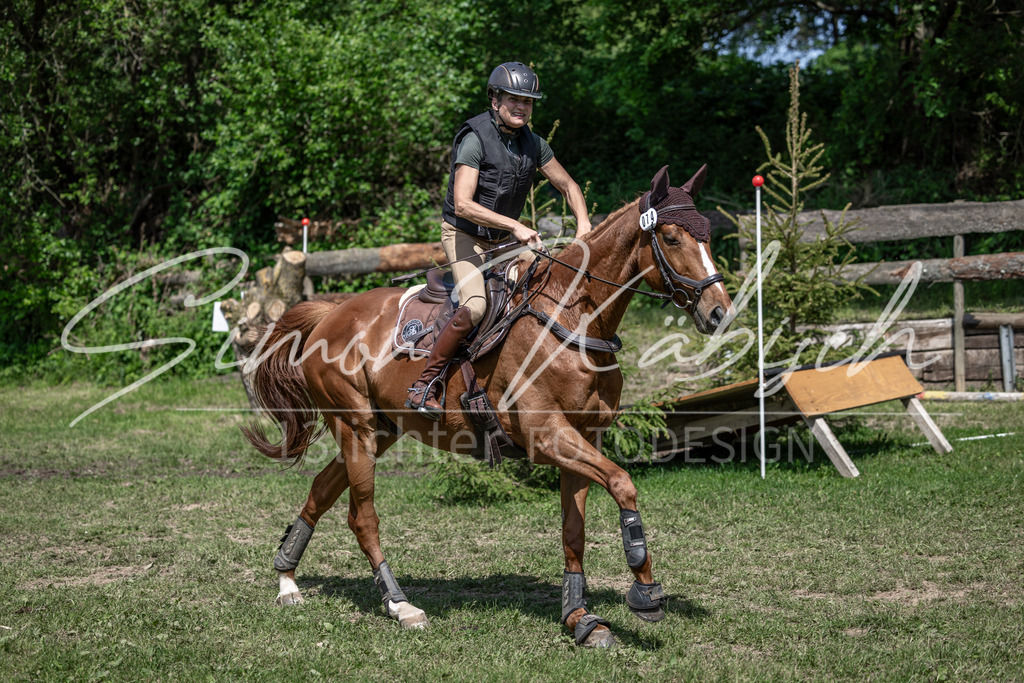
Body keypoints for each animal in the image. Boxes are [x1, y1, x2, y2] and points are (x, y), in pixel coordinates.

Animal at [240, 164, 734, 648]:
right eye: (671, 238)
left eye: (708, 235)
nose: (720, 313)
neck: (574, 319)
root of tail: (330, 313)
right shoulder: (546, 437)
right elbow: (622, 483)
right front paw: (645, 593)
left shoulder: (581, 439)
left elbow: (573, 531)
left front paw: (580, 619)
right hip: (356, 429)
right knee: (362, 517)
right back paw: (401, 605)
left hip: (380, 431)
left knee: (321, 491)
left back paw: (287, 579)